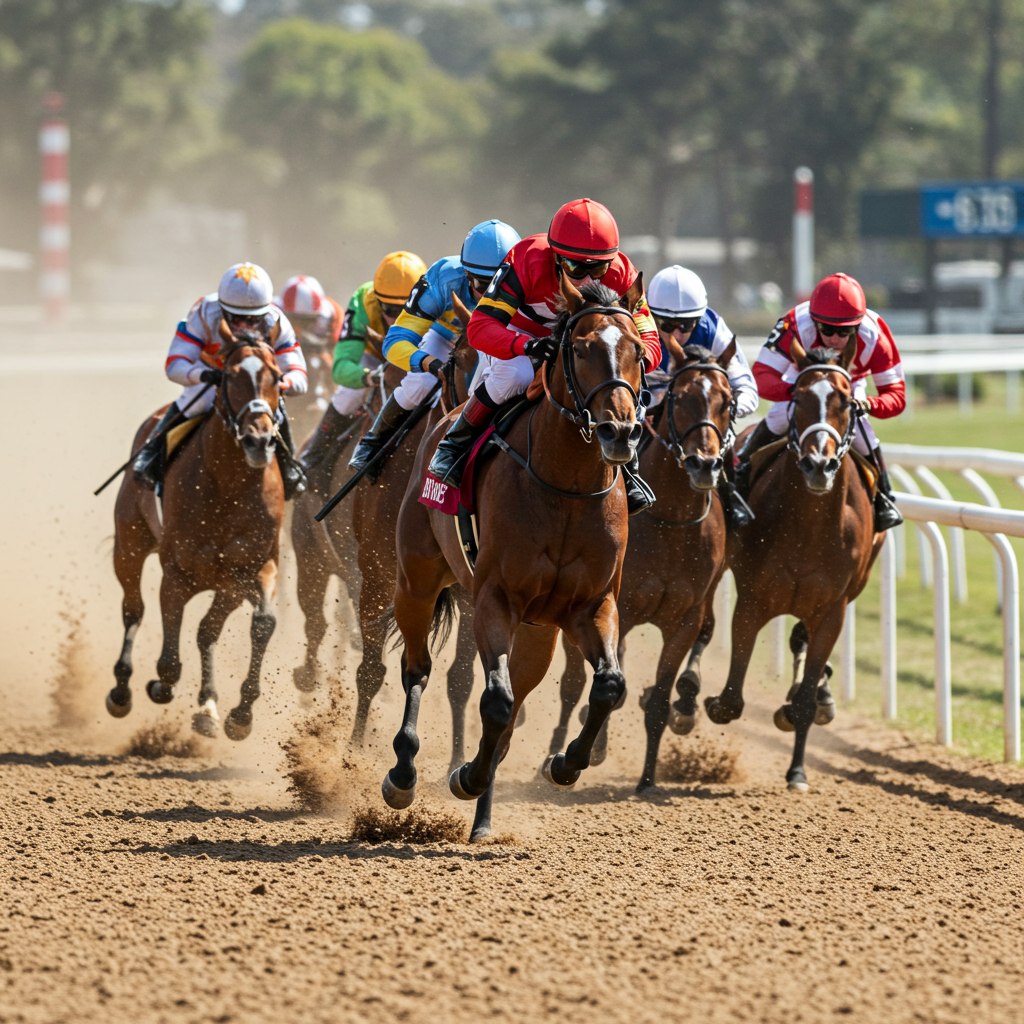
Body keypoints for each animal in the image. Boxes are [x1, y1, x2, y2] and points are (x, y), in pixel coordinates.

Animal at [107, 330, 287, 739]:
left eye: (277, 376)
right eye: (229, 377)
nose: (258, 441)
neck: (229, 484)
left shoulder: (252, 569)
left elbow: (262, 623)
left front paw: (240, 714)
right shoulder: (176, 573)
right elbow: (169, 659)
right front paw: (159, 686)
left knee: (206, 631)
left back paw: (208, 705)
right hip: (129, 543)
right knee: (133, 609)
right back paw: (122, 690)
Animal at [290, 302, 479, 770]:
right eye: (458, 361)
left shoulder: (471, 591)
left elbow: (461, 680)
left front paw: (457, 761)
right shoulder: (376, 576)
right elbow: (371, 670)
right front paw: (355, 751)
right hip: (310, 552)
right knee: (316, 620)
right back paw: (308, 677)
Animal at [384, 275, 647, 841]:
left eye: (638, 351)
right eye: (581, 348)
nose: (619, 432)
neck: (567, 487)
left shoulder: (592, 606)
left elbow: (609, 685)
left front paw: (564, 764)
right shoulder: (494, 600)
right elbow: (496, 701)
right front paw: (464, 775)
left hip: (538, 633)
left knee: (511, 711)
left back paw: (483, 817)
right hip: (416, 580)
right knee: (417, 668)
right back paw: (404, 773)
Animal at [549, 341, 736, 790]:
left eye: (727, 401)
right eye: (680, 399)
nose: (704, 464)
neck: (673, 520)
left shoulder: (684, 619)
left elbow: (659, 701)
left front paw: (648, 780)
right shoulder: (622, 609)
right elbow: (602, 683)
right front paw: (588, 749)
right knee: (571, 686)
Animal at [703, 335, 884, 790]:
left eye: (846, 402)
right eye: (798, 398)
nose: (818, 464)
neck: (810, 526)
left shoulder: (832, 609)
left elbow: (803, 699)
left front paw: (798, 769)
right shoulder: (753, 599)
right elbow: (730, 700)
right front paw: (703, 704)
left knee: (802, 644)